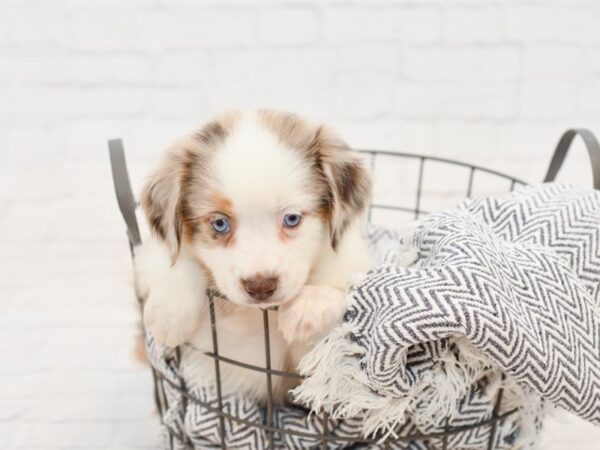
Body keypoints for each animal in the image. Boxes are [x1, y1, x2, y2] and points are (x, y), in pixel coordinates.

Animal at [134, 110, 372, 402]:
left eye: (292, 219)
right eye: (220, 223)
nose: (260, 287)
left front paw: (312, 305)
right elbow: (172, 260)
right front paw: (171, 312)